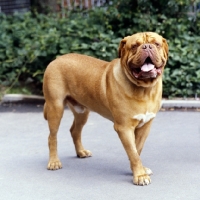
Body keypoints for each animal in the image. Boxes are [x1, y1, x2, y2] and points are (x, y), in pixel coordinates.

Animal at [43, 31, 168, 186]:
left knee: (75, 131)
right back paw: (54, 162)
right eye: (134, 46)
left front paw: (138, 170)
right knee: (52, 136)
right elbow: (133, 152)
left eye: (156, 44)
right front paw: (140, 175)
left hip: (82, 111)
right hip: (56, 107)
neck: (144, 89)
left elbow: (137, 149)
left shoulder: (145, 125)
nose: (147, 47)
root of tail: (55, 60)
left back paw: (81, 152)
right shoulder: (124, 127)